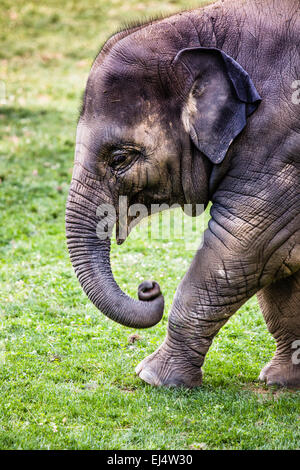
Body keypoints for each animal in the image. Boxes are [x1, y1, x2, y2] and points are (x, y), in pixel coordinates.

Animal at [66, 0, 300, 388]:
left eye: (119, 158)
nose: (149, 286)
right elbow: (280, 262)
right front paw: (280, 381)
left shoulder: (282, 145)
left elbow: (248, 244)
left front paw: (152, 378)